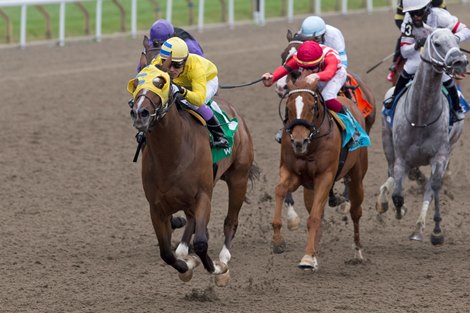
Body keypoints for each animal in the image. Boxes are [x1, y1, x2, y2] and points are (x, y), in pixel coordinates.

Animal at [129, 54, 258, 286]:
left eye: (160, 82)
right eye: (135, 83)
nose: (139, 113)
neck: (172, 154)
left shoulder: (203, 196)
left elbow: (201, 243)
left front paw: (217, 268)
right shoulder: (156, 207)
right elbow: (166, 253)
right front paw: (186, 266)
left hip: (239, 178)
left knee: (230, 221)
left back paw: (224, 256)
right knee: (190, 222)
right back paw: (185, 250)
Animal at [274, 72, 370, 270]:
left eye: (312, 106)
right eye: (289, 106)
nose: (299, 141)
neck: (311, 146)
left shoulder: (325, 177)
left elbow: (314, 218)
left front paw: (307, 258)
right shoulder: (292, 173)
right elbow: (280, 190)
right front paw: (278, 240)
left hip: (357, 177)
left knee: (356, 212)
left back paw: (357, 253)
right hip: (310, 188)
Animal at [376, 28, 468, 244]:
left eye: (456, 40)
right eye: (437, 43)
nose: (460, 61)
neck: (421, 115)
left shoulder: (440, 156)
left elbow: (433, 187)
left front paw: (436, 231)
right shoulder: (401, 157)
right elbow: (398, 194)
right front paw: (399, 208)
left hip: (449, 148)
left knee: (429, 186)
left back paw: (419, 228)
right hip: (388, 144)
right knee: (392, 173)